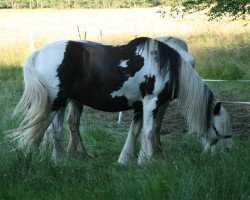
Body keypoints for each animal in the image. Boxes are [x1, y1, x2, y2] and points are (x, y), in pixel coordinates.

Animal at [10, 37, 232, 164]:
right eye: (218, 128)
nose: (228, 153)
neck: (167, 66)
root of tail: (38, 54)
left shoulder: (141, 106)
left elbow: (137, 131)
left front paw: (127, 159)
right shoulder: (152, 102)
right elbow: (149, 131)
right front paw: (146, 161)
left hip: (63, 103)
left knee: (55, 130)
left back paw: (61, 162)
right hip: (54, 103)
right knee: (39, 131)